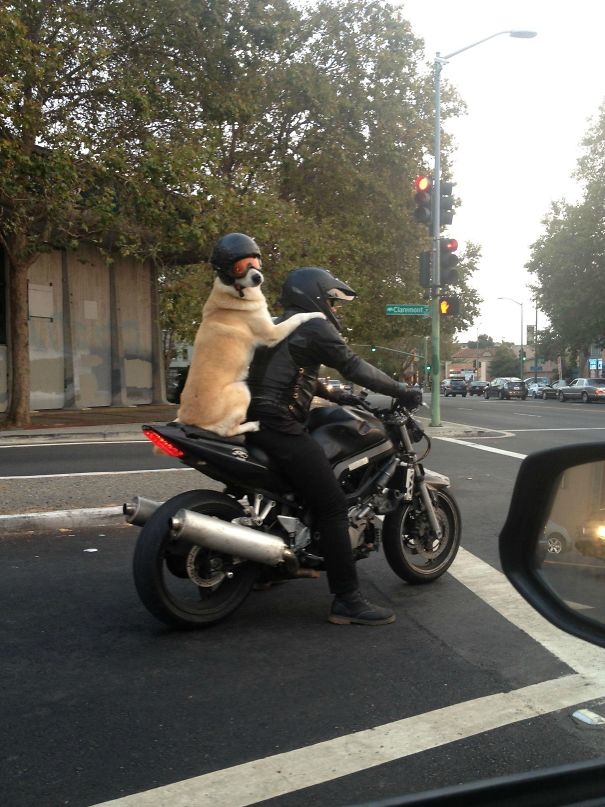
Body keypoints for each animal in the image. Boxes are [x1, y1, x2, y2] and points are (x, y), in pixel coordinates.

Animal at [176, 234, 324, 436]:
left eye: (253, 262)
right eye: (239, 268)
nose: (257, 276)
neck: (234, 293)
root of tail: (187, 420)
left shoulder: (270, 322)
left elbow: (278, 317)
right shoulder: (272, 333)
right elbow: (297, 317)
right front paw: (317, 314)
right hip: (242, 390)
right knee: (228, 431)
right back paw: (252, 425)